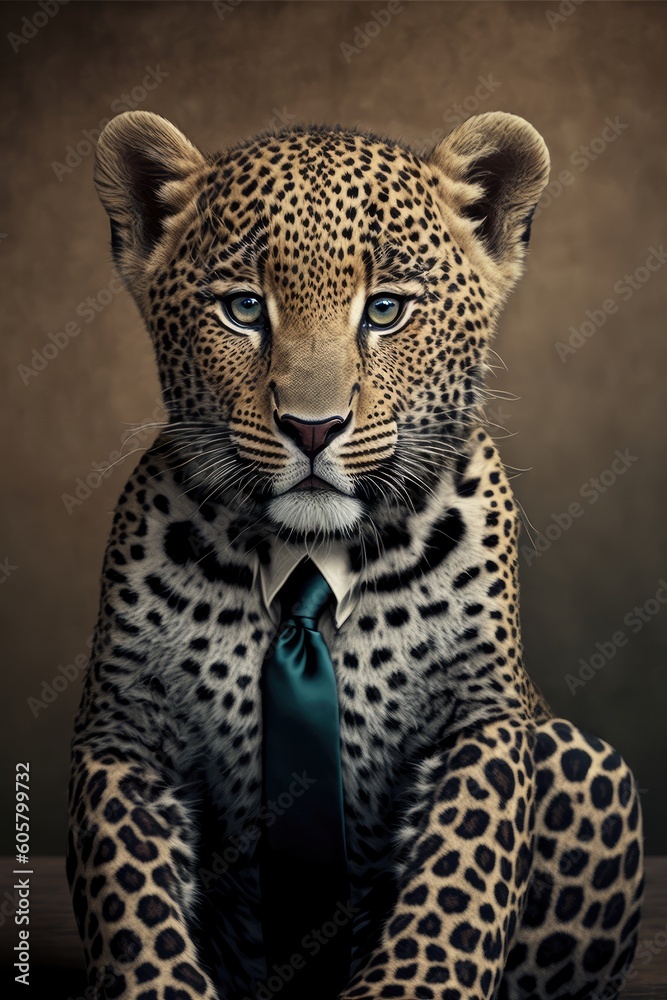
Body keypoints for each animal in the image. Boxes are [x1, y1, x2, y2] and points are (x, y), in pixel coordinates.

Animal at [67, 109, 644, 1000]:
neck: (309, 556)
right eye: (244, 309)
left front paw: (408, 984)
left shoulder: (485, 716)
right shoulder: (121, 733)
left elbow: (458, 879)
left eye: (385, 310)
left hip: (584, 758)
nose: (312, 428)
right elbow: (131, 907)